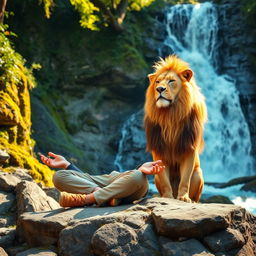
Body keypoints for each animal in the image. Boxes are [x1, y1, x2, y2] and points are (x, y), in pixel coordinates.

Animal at [144, 55, 208, 203]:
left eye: (171, 81)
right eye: (157, 82)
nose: (159, 89)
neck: (170, 115)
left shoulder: (188, 148)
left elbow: (185, 179)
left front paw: (184, 197)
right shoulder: (159, 150)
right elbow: (164, 179)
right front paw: (167, 197)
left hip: (198, 173)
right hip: (155, 175)